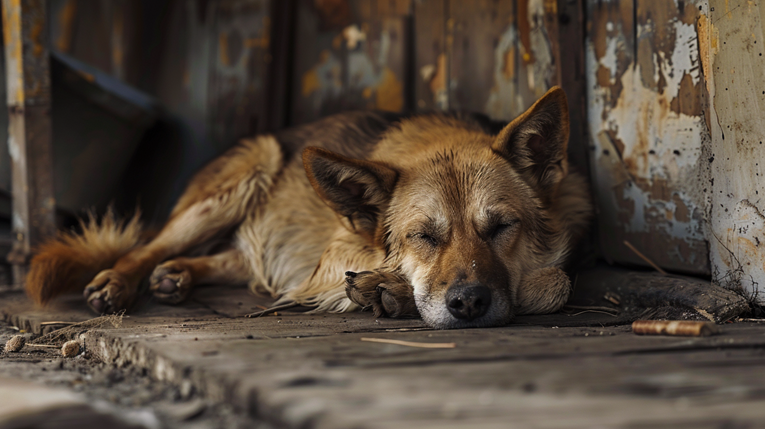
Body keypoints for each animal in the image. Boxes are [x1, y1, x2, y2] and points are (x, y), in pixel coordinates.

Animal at [25, 86, 592, 328]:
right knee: (146, 248)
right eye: (423, 237)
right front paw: (387, 288)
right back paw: (119, 282)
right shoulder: (333, 253)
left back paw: (178, 275)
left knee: (235, 262)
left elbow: (555, 282)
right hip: (245, 173)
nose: (470, 304)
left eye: (501, 227)